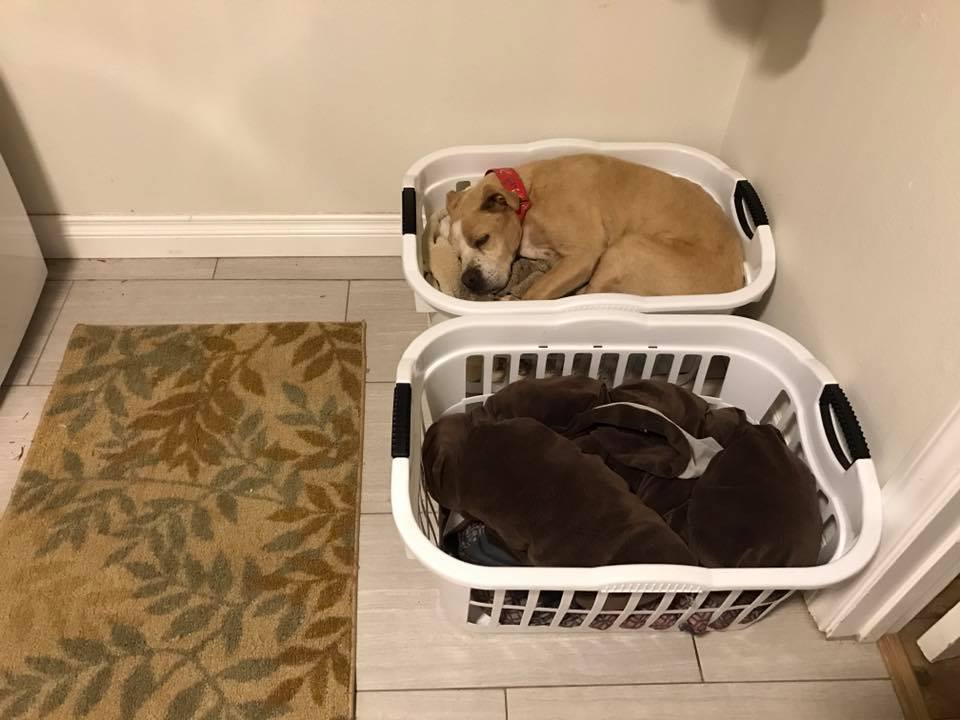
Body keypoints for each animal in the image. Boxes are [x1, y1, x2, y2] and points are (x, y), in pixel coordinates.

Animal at [446, 153, 748, 300]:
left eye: (482, 239)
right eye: (457, 255)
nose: (468, 280)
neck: (527, 195)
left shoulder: (584, 254)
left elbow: (536, 293)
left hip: (627, 248)